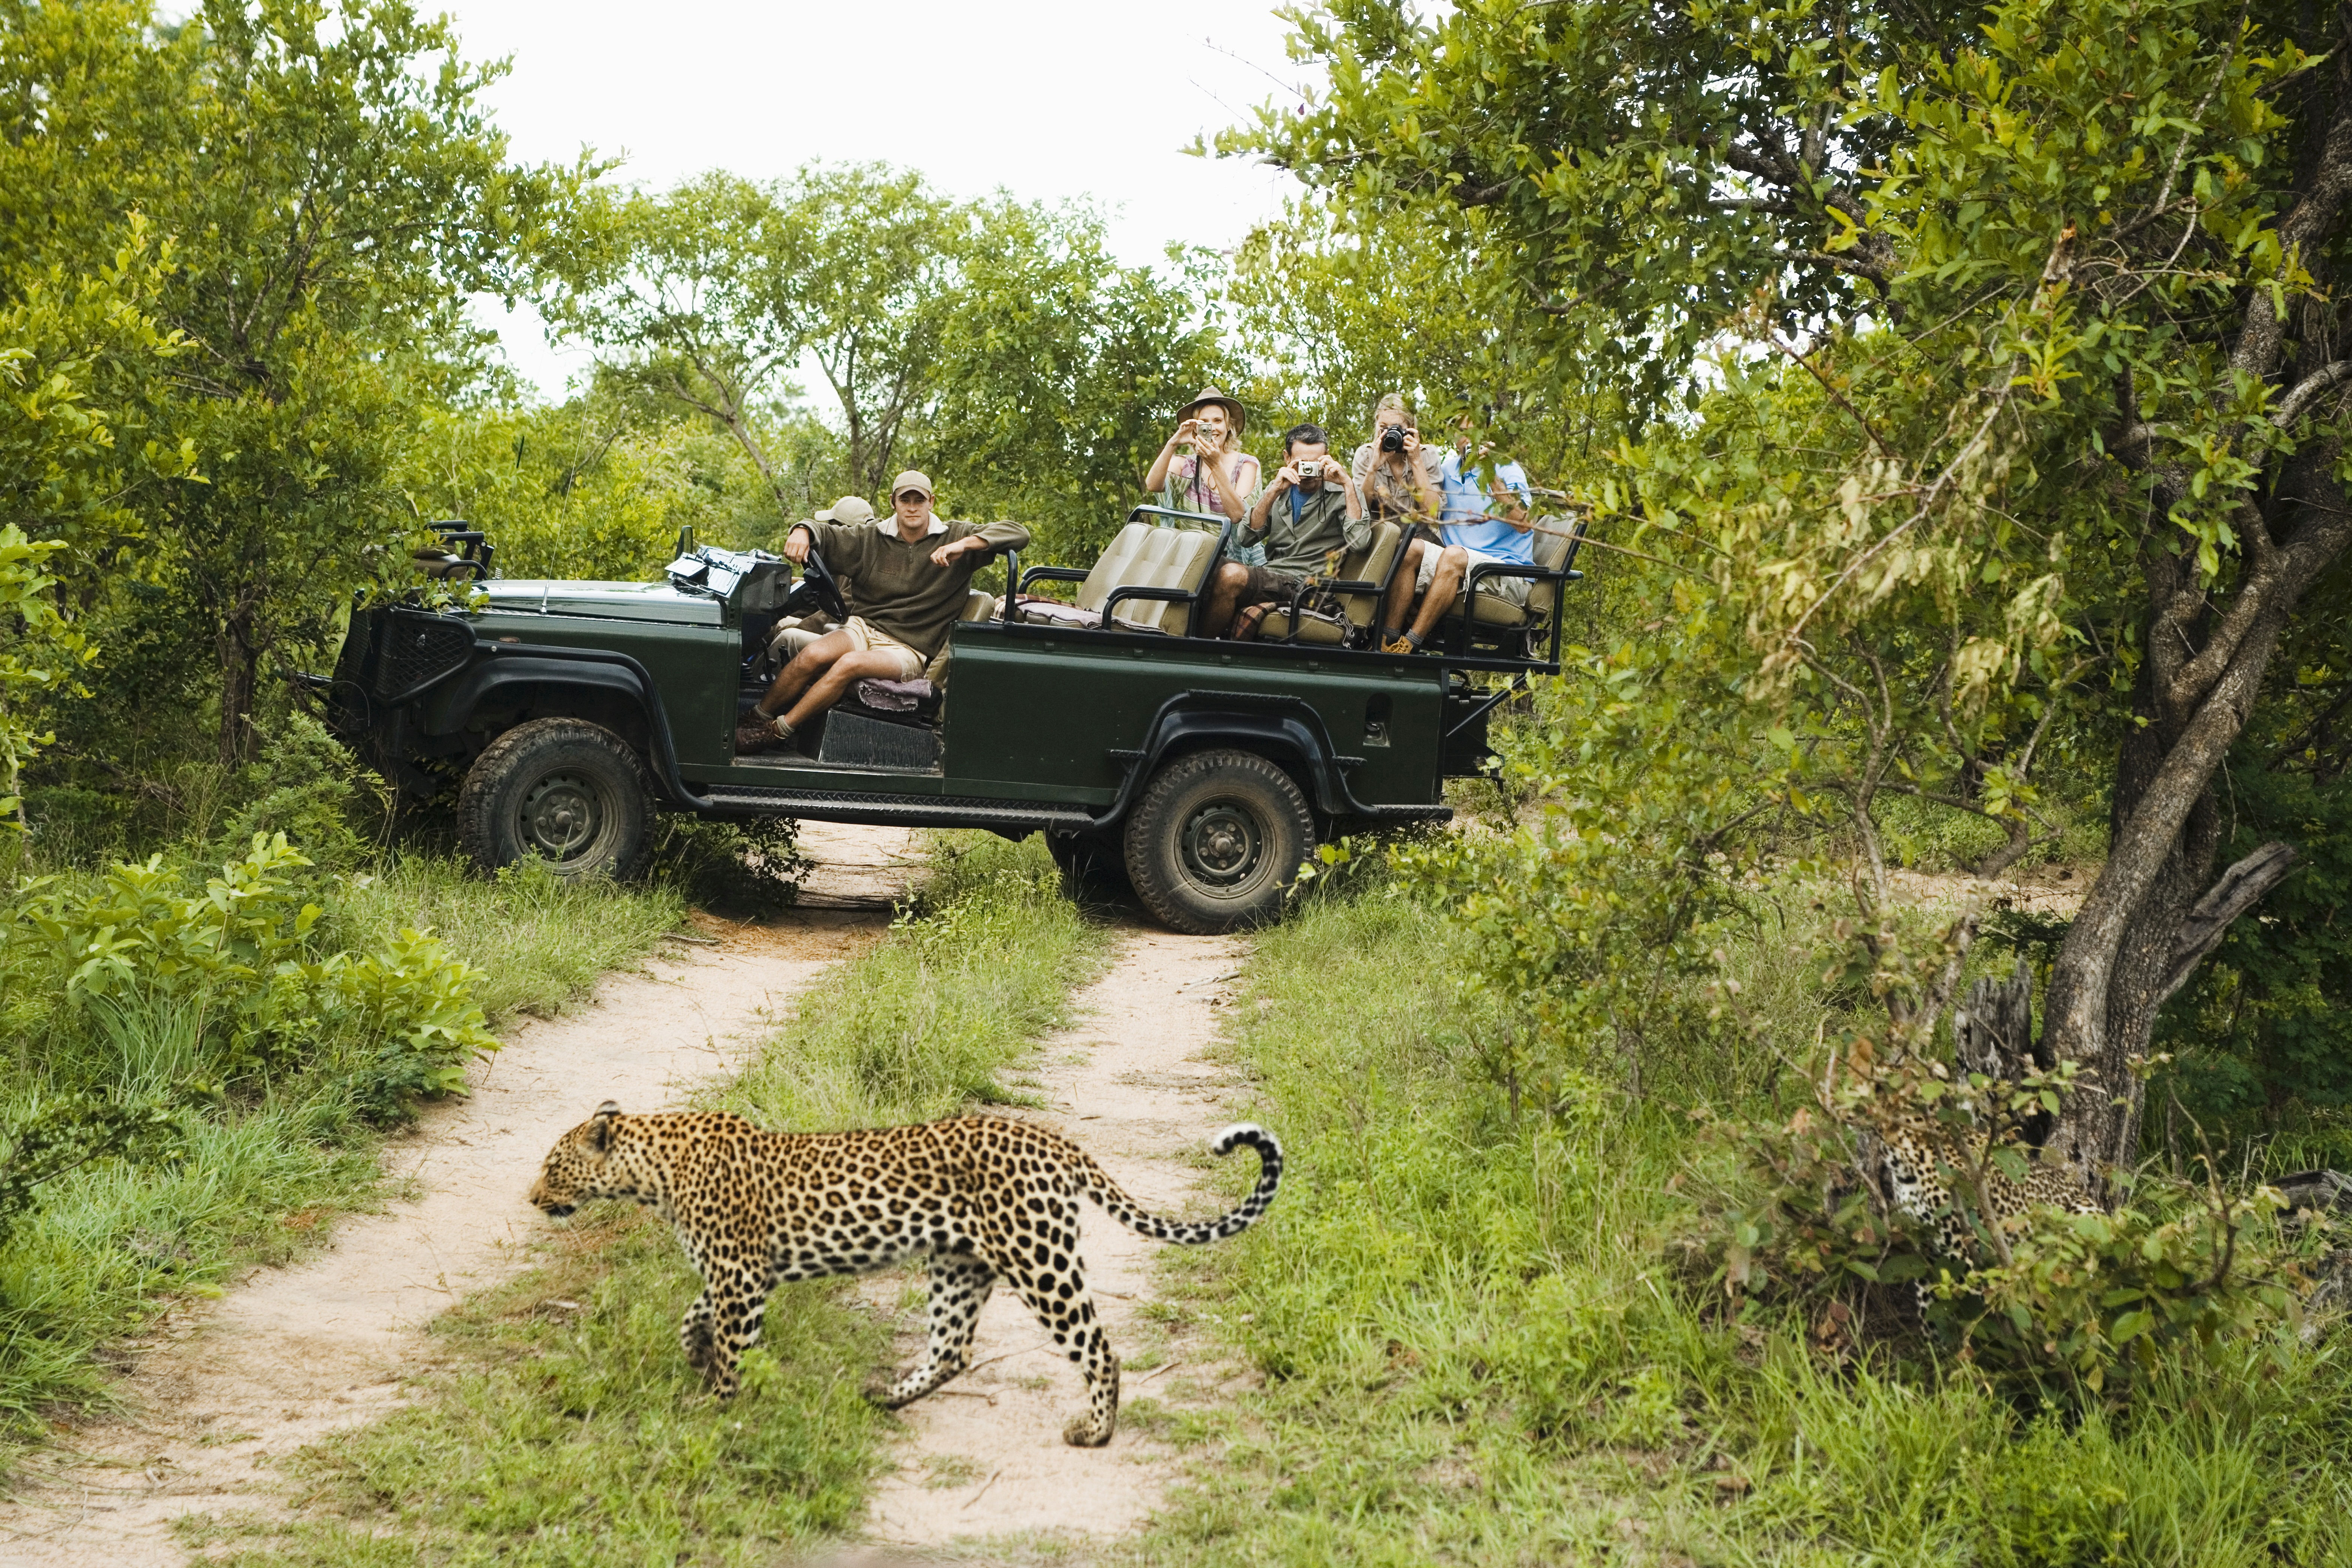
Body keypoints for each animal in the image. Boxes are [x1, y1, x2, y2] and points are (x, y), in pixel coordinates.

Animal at [529, 1105, 1289, 1448]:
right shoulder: (743, 1275)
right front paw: (694, 1350)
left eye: (552, 1166)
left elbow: (730, 1347)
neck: (653, 1172)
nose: (533, 1198)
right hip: (959, 1264)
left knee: (1098, 1348)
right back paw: (886, 1397)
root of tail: (1056, 1140)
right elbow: (695, 1312)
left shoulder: (740, 1276)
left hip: (1038, 1258)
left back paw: (1095, 1431)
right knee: (953, 1349)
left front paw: (713, 1409)